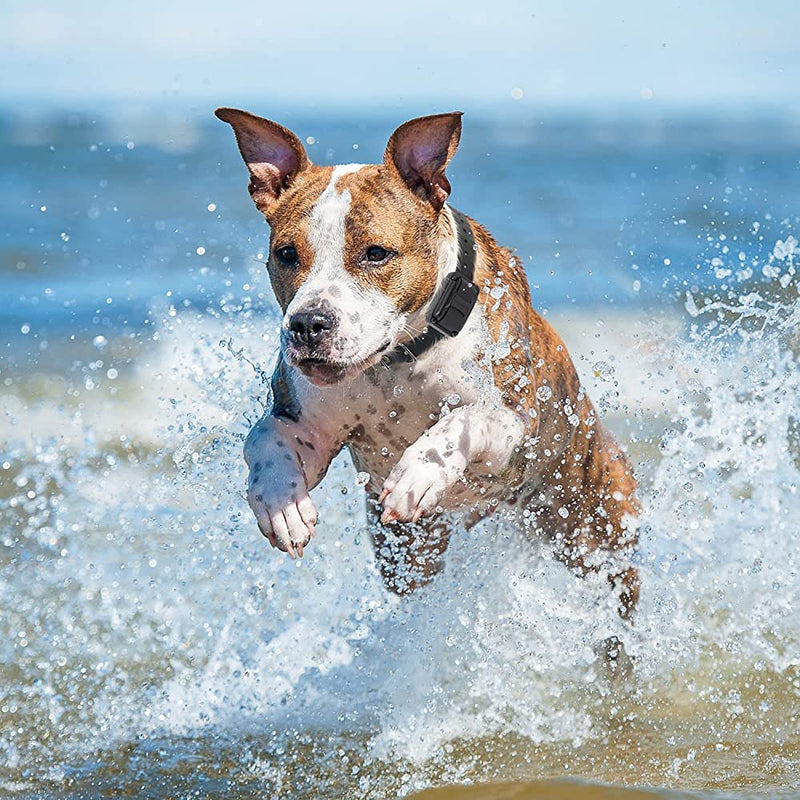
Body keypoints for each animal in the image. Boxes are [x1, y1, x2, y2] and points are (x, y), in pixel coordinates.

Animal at [216, 108, 640, 620]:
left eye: (376, 253)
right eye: (286, 254)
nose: (308, 324)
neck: (397, 361)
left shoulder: (516, 420)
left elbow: (463, 420)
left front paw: (418, 472)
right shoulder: (307, 425)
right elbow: (263, 437)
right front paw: (282, 504)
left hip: (597, 531)